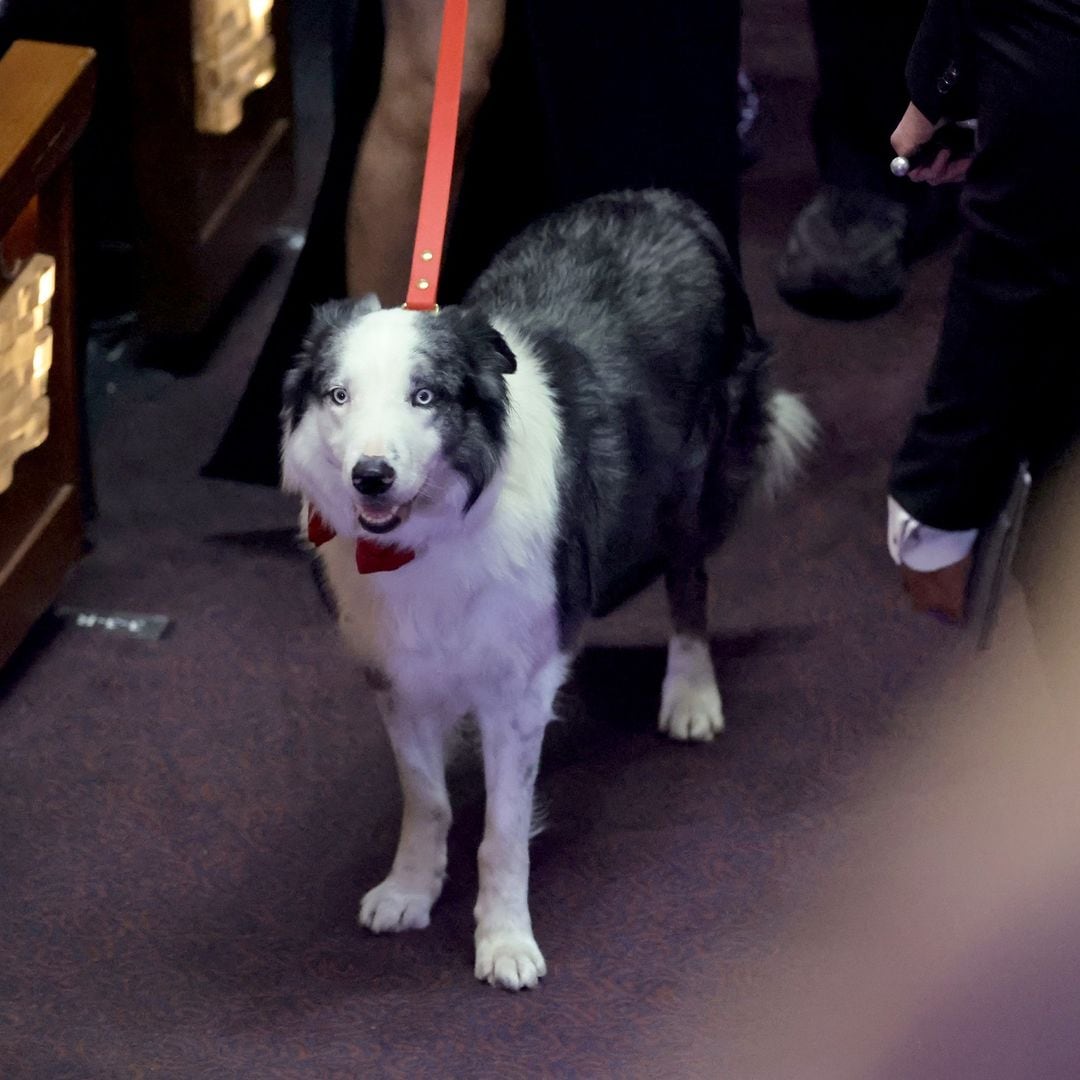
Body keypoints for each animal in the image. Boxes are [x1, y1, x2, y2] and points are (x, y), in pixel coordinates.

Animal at [278, 185, 812, 989]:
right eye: (338, 395)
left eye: (425, 396)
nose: (370, 476)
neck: (431, 537)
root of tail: (664, 199)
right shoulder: (398, 677)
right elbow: (426, 801)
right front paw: (410, 890)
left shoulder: (515, 690)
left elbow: (502, 834)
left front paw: (504, 941)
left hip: (688, 485)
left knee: (689, 583)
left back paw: (690, 695)